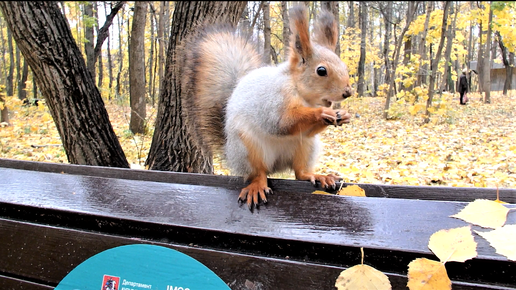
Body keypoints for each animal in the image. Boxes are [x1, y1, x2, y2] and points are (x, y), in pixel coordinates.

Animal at [179, 5, 352, 210]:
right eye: (321, 71)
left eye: (344, 66)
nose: (348, 92)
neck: (302, 94)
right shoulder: (271, 103)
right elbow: (283, 123)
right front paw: (322, 112)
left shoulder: (306, 130)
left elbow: (306, 130)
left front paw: (342, 114)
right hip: (247, 148)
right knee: (258, 173)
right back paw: (257, 186)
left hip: (307, 146)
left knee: (300, 171)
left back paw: (317, 175)